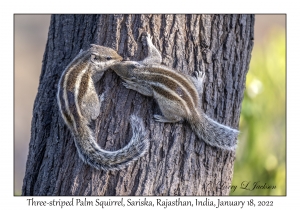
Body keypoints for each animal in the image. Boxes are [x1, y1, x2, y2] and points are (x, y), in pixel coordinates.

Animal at [110, 32, 239, 151]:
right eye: (125, 61)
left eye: (121, 75)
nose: (113, 66)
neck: (142, 71)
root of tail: (193, 109)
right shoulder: (149, 63)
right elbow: (157, 56)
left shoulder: (147, 83)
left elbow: (146, 90)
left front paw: (132, 85)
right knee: (198, 91)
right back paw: (199, 80)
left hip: (167, 105)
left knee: (177, 119)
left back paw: (163, 118)